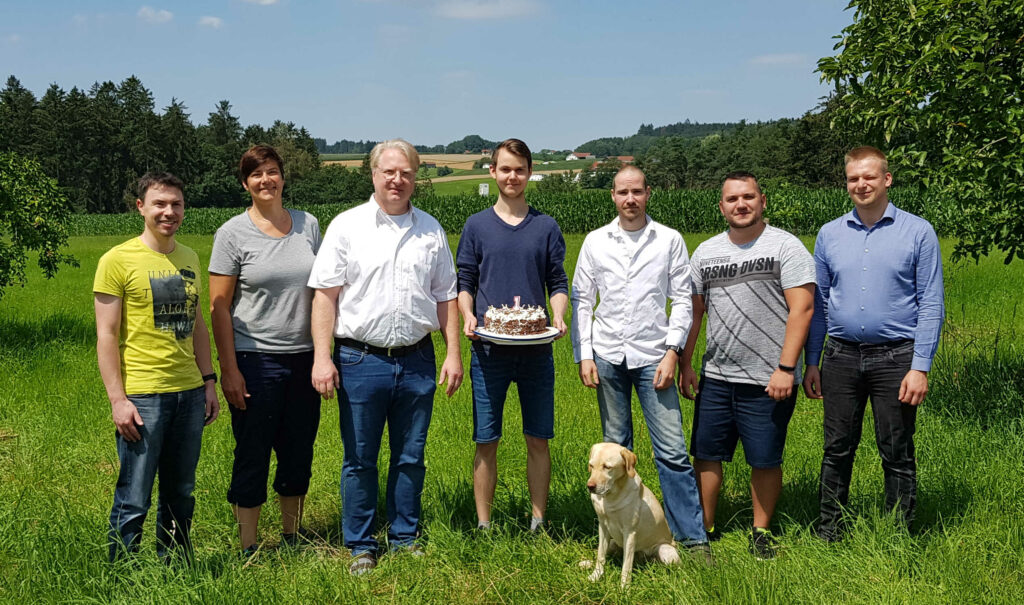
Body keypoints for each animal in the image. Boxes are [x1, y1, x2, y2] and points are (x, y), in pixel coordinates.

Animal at [585, 440, 679, 585]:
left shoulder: (629, 533)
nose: (590, 486)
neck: (610, 497)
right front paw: (596, 576)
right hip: (613, 543)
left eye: (607, 467)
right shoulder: (603, 526)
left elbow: (626, 566)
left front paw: (624, 587)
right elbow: (600, 555)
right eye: (591, 465)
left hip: (666, 551)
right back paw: (586, 563)